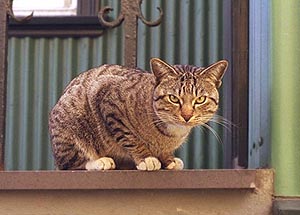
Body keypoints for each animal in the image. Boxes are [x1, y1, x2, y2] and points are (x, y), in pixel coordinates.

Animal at [48, 58, 227, 170]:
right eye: (174, 98)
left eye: (200, 99)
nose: (187, 115)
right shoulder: (108, 100)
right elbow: (129, 137)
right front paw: (146, 158)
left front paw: (168, 160)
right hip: (70, 129)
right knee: (70, 164)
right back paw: (100, 162)